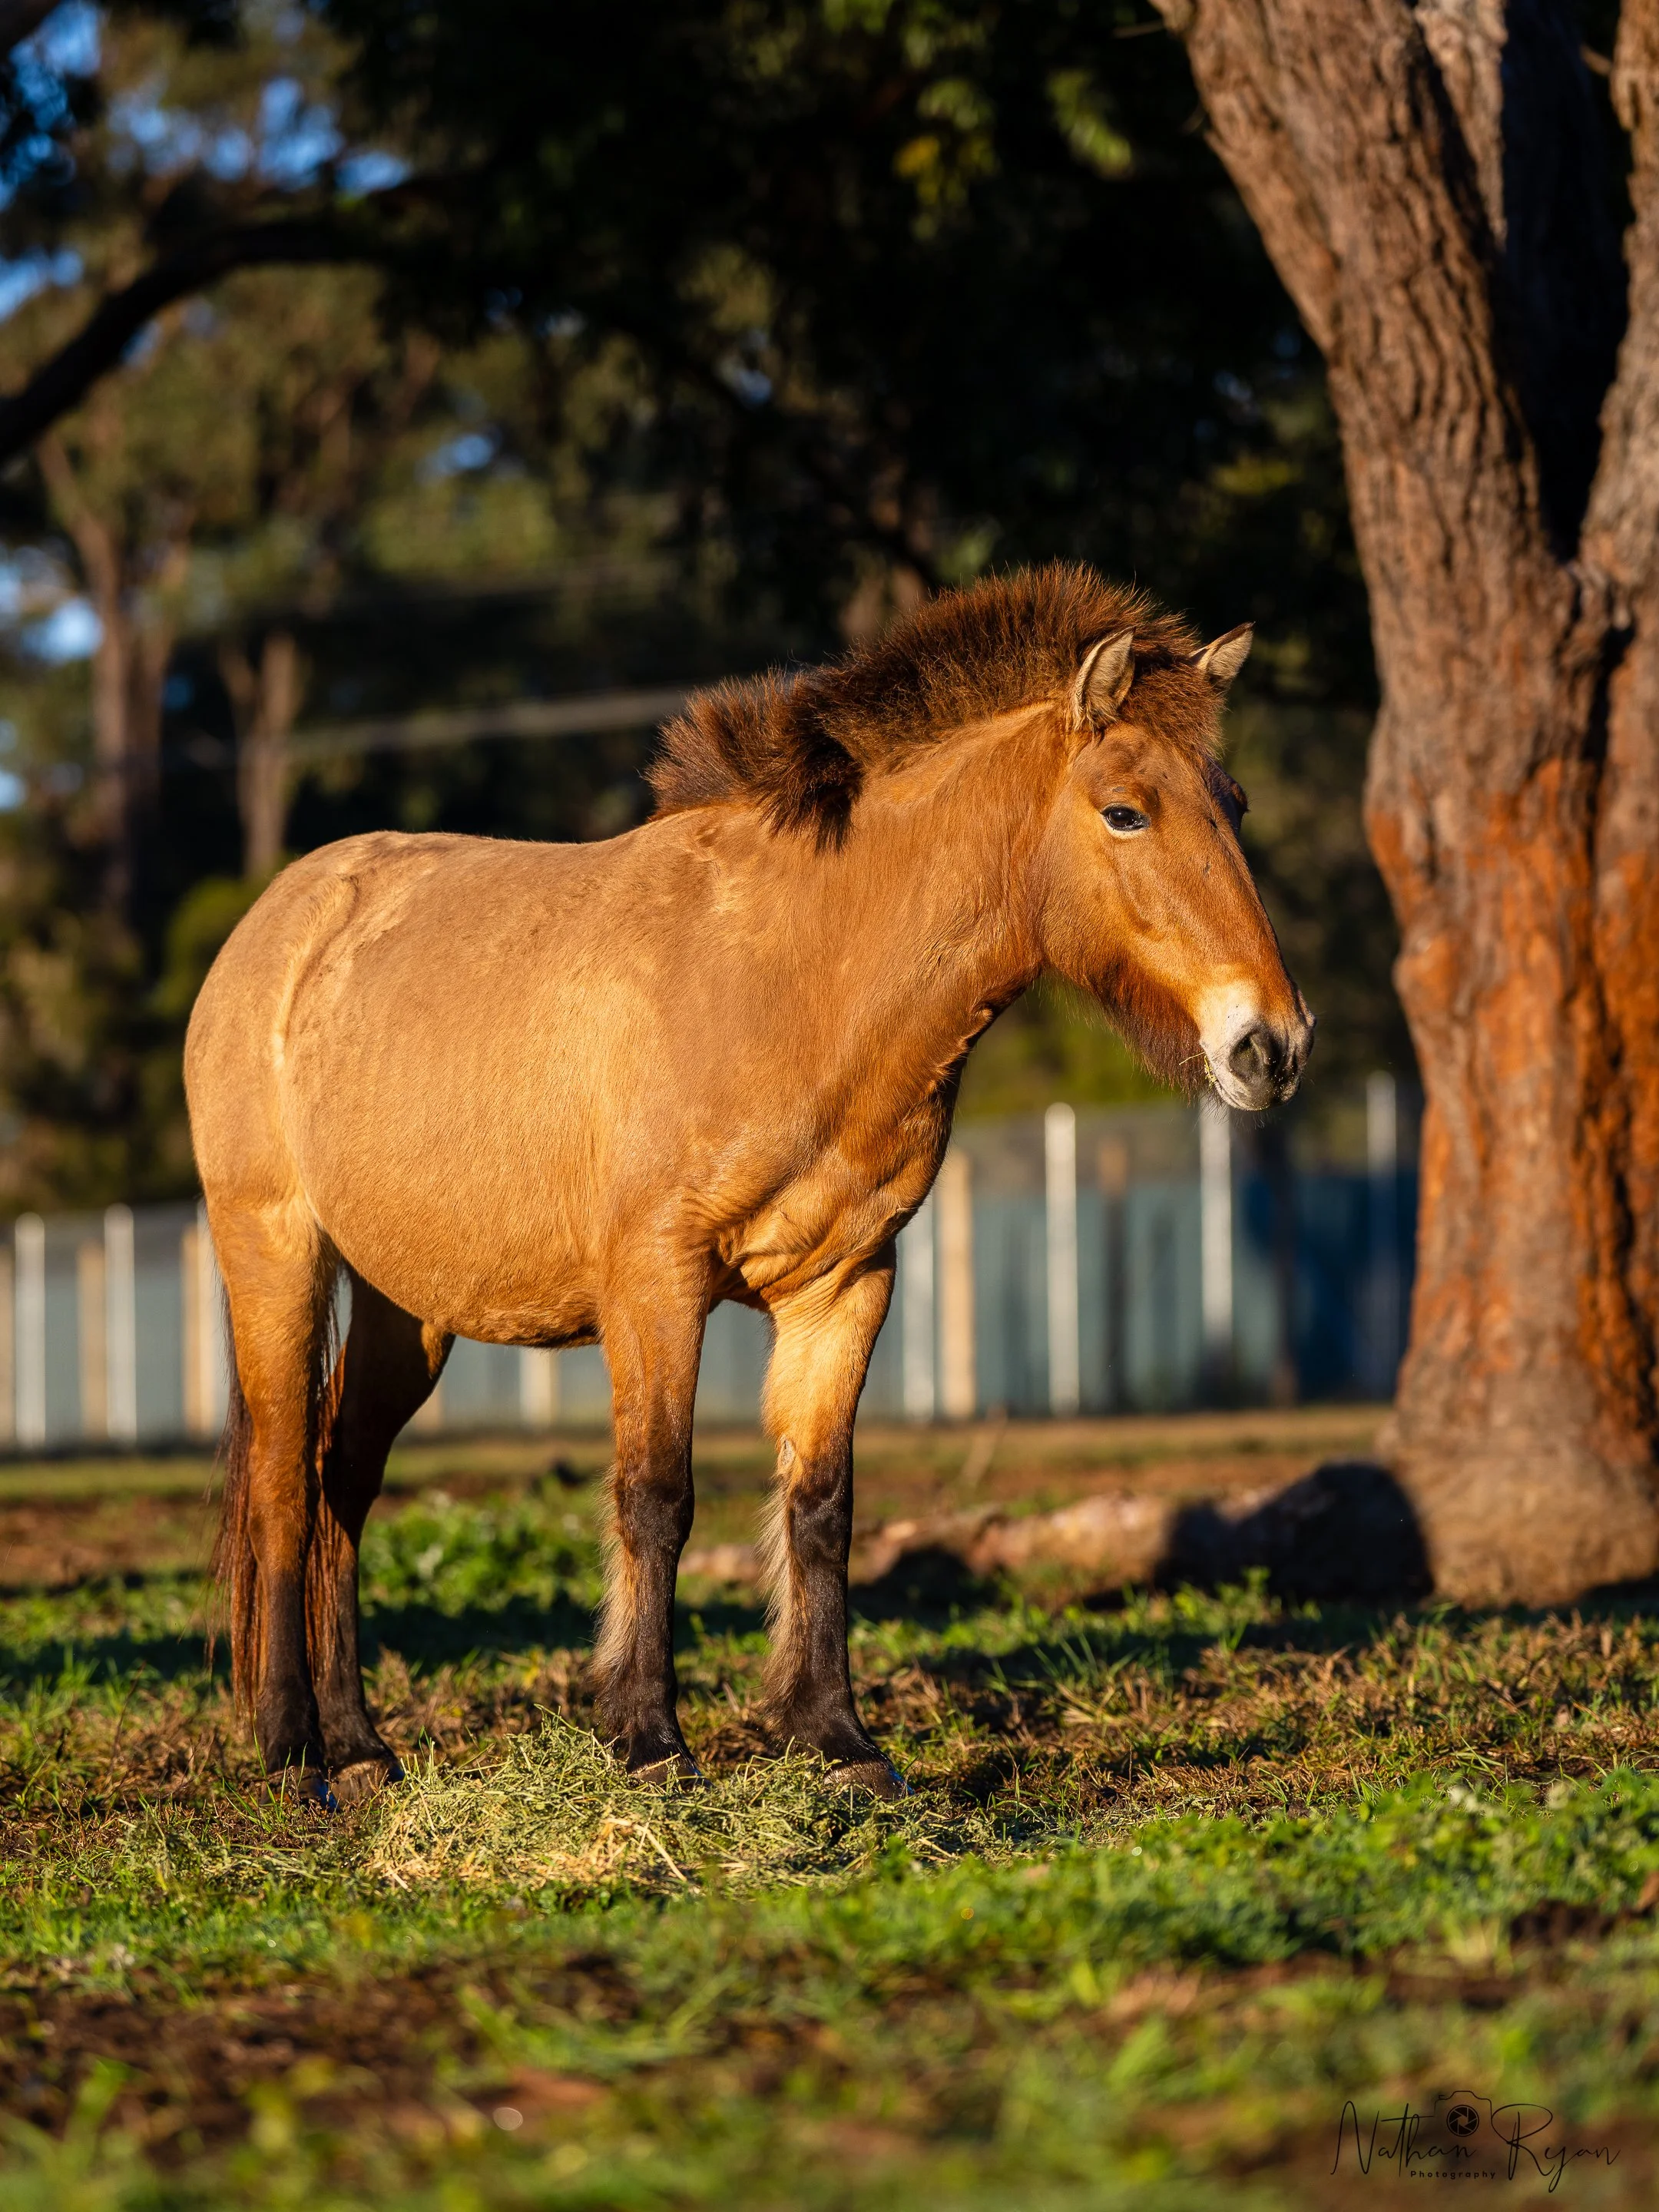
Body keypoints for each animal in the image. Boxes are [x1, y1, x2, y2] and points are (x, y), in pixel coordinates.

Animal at [186, 564, 1313, 1804]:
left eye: (1236, 804)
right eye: (1124, 810)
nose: (1271, 1046)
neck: (799, 974)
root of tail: (275, 927)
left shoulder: (845, 1285)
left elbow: (820, 1502)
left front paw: (835, 1737)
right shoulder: (657, 1284)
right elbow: (656, 1496)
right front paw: (646, 1738)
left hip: (408, 1309)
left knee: (343, 1479)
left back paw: (361, 1743)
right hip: (276, 1258)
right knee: (285, 1485)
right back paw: (292, 1751)